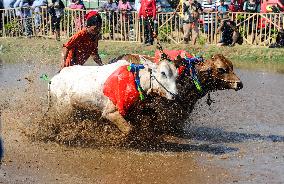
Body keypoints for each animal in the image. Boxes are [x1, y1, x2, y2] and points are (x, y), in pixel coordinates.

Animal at [48, 60, 178, 135]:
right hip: (64, 109)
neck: (134, 78)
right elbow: (128, 129)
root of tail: (53, 79)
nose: (175, 95)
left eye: (177, 75)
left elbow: (152, 114)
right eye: (163, 73)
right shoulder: (110, 112)